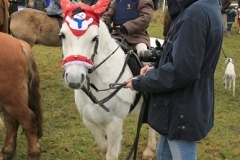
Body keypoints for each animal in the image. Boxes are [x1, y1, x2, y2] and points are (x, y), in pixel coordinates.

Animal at [58, 0, 163, 159]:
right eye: (62, 35)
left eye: (94, 38)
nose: (74, 78)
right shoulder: (90, 121)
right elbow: (103, 148)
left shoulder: (114, 124)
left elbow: (111, 154)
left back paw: (150, 150)